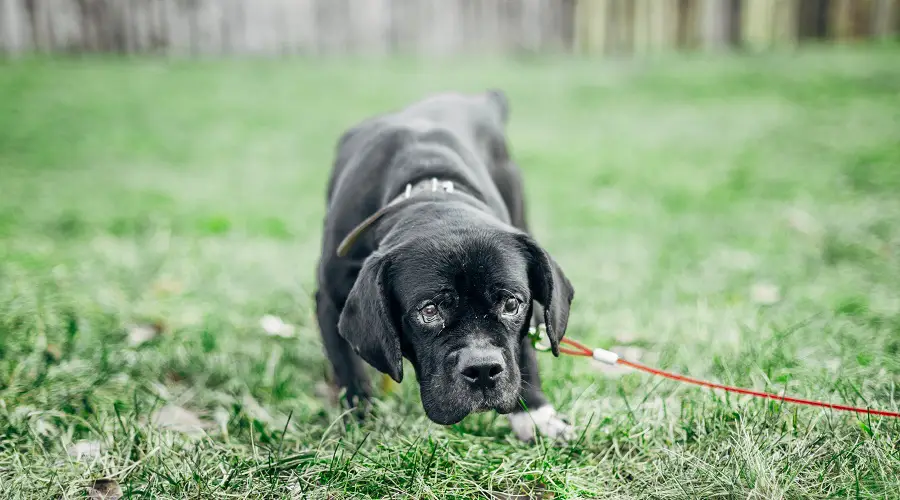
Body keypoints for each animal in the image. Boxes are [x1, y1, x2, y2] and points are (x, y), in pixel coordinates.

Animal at [312, 90, 572, 442]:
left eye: (510, 304)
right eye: (430, 310)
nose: (483, 370)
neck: (430, 190)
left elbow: (525, 351)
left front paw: (535, 414)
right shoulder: (330, 301)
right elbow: (348, 370)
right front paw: (359, 425)